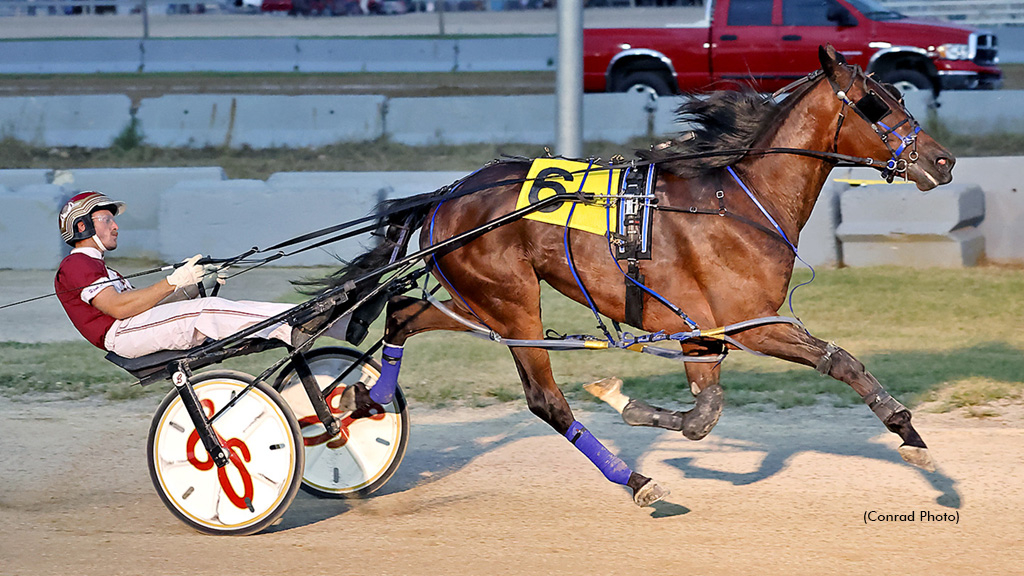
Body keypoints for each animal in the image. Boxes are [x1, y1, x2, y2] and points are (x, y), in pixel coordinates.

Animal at [309, 48, 950, 506]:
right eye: (876, 103)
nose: (942, 161)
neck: (738, 201)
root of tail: (447, 194)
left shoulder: (701, 332)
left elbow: (705, 414)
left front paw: (630, 403)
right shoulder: (752, 323)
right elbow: (838, 363)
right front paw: (910, 436)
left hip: (477, 300)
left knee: (404, 313)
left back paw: (362, 399)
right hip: (512, 304)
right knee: (545, 400)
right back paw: (636, 480)